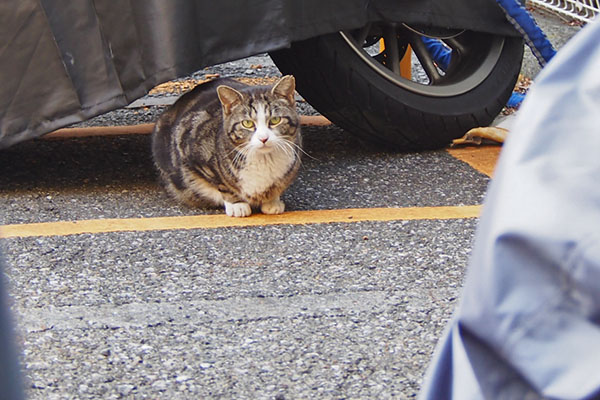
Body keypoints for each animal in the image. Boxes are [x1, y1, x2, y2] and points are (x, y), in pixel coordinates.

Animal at [150, 76, 300, 217]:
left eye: (275, 120)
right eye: (247, 123)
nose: (263, 138)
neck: (264, 159)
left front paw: (272, 201)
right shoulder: (191, 150)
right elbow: (221, 183)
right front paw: (237, 204)